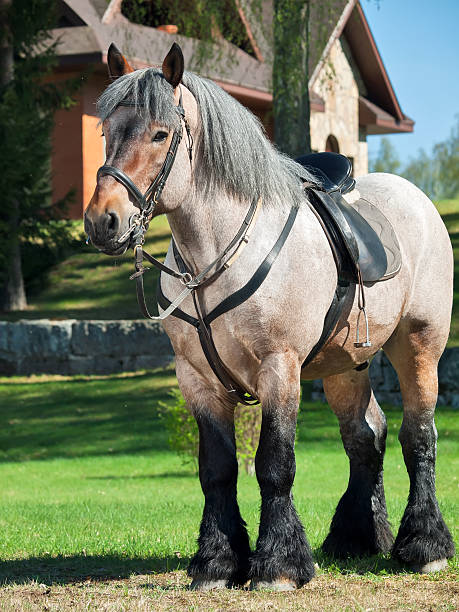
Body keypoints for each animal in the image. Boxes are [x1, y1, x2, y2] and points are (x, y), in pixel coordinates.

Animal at [83, 41, 456, 588]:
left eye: (160, 133)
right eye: (106, 132)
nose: (103, 221)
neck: (218, 254)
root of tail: (416, 199)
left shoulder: (279, 368)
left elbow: (275, 464)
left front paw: (279, 562)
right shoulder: (196, 380)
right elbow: (217, 469)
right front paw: (217, 561)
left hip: (419, 346)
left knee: (419, 437)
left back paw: (424, 544)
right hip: (346, 367)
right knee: (365, 438)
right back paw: (357, 538)